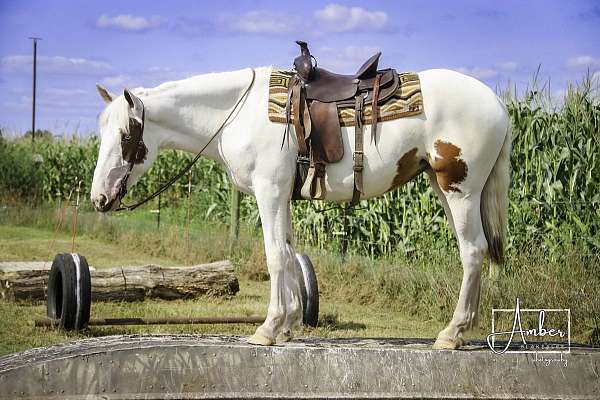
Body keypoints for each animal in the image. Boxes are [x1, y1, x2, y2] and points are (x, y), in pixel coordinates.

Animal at [90, 65, 510, 346]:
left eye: (126, 136)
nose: (99, 198)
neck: (238, 113)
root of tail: (498, 104)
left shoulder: (269, 191)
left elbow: (275, 255)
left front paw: (268, 328)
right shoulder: (281, 196)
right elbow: (290, 252)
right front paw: (288, 324)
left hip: (460, 190)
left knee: (473, 252)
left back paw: (452, 333)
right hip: (443, 187)